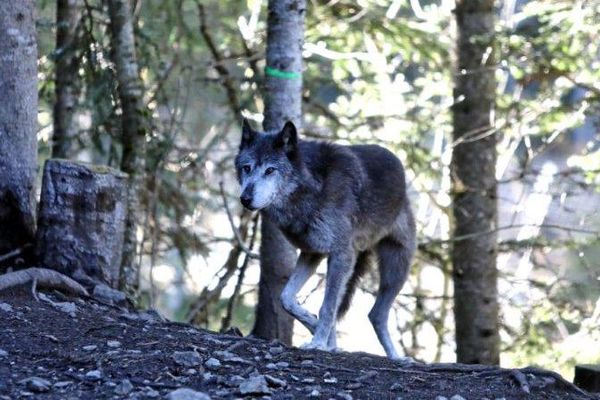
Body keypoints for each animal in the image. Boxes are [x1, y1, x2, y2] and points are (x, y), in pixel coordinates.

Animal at [236, 119, 418, 360]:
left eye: (270, 170)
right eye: (246, 168)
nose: (245, 198)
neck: (313, 187)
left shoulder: (341, 254)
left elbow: (327, 307)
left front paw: (319, 342)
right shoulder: (312, 253)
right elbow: (286, 298)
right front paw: (325, 337)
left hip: (396, 270)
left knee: (376, 315)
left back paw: (397, 357)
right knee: (372, 313)